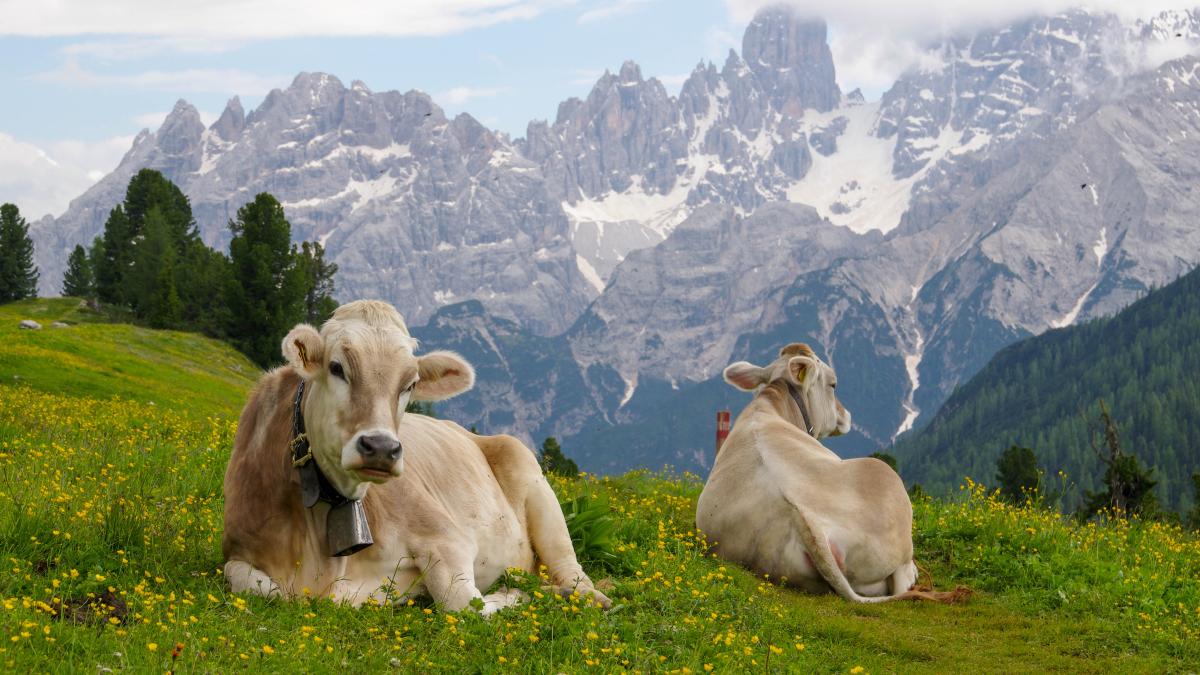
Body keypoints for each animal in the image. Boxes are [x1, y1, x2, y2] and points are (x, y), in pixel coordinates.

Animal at [222, 300, 610, 614]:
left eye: (410, 384)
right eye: (336, 367)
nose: (381, 447)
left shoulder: (447, 537)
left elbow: (463, 604)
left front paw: (514, 594)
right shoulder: (237, 552)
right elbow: (256, 585)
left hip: (532, 479)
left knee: (570, 568)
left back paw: (579, 595)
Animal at [695, 343, 922, 602]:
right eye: (833, 384)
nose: (846, 415)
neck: (773, 406)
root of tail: (808, 519)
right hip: (884, 475)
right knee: (902, 576)